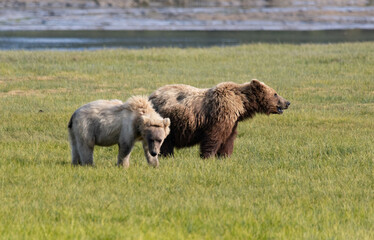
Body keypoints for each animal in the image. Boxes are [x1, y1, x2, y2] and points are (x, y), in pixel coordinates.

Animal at [148, 79, 290, 158]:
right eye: (275, 94)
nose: (287, 102)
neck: (241, 104)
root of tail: (150, 96)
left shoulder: (233, 121)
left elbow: (229, 138)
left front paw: (224, 156)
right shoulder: (220, 114)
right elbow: (214, 136)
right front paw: (207, 156)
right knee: (165, 141)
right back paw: (166, 155)